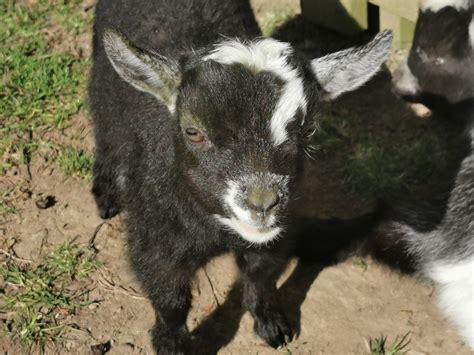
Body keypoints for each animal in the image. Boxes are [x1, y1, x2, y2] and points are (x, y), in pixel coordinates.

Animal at [89, 0, 392, 354]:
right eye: (193, 132)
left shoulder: (277, 234)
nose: (262, 203)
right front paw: (172, 343)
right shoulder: (156, 237)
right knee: (105, 126)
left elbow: (260, 274)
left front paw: (272, 324)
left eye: (308, 130)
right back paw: (106, 193)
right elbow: (170, 297)